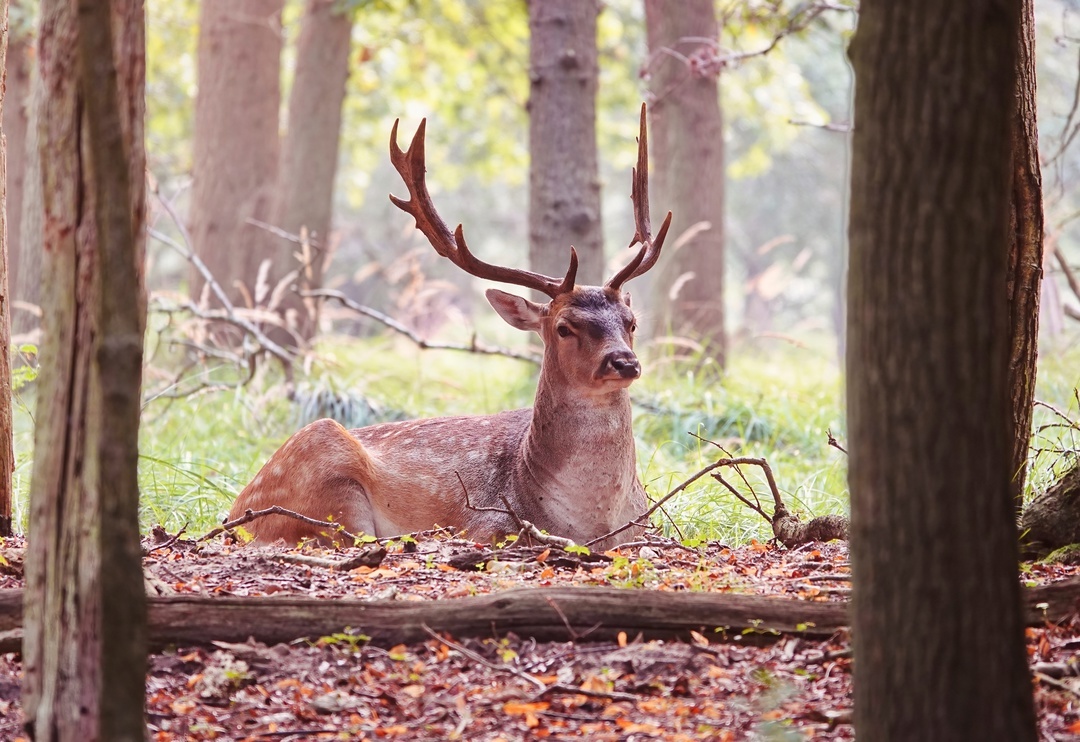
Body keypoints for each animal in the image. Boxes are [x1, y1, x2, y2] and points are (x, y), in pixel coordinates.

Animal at [226, 103, 665, 550]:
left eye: (631, 323)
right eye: (564, 326)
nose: (624, 362)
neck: (595, 523)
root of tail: (234, 514)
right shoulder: (487, 524)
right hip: (327, 471)